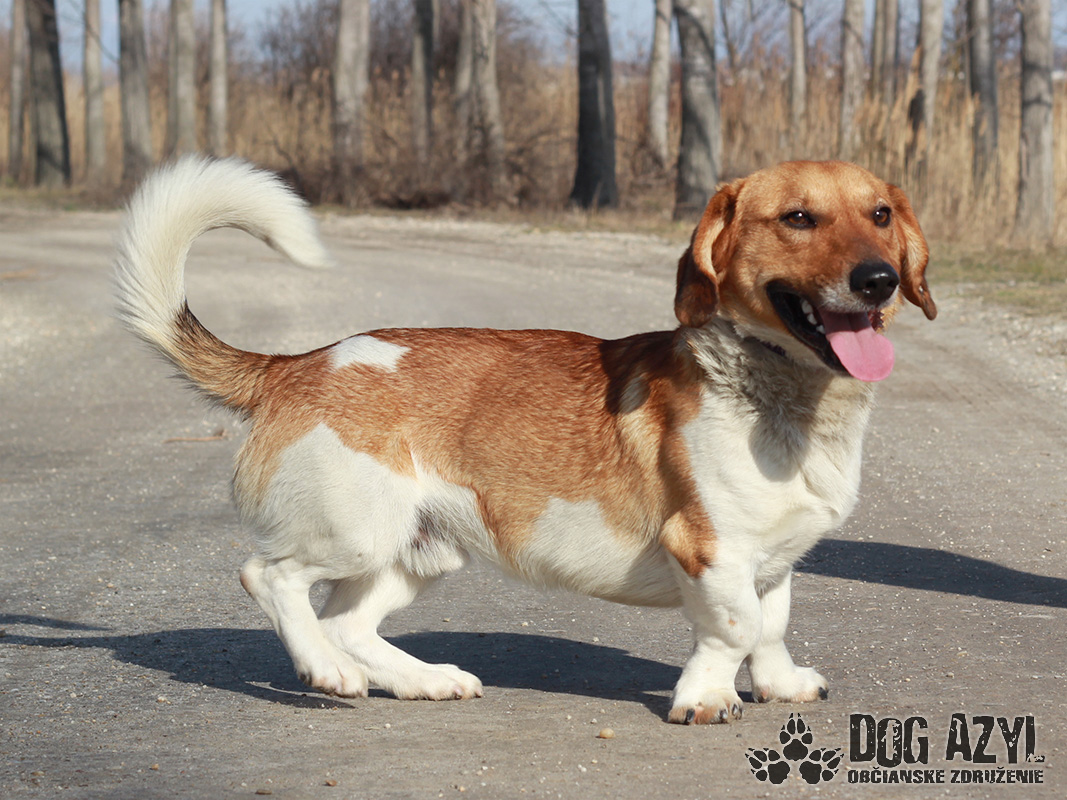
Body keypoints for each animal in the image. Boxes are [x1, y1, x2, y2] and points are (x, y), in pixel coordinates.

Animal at [115, 157, 935, 724]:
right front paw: (706, 697)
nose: (879, 280)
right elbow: (731, 629)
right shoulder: (710, 550)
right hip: (352, 532)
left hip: (415, 553)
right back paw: (325, 672)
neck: (782, 399)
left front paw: (777, 685)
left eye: (880, 214)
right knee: (271, 578)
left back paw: (423, 679)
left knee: (345, 621)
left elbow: (770, 627)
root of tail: (294, 365)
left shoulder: (773, 560)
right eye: (798, 218)